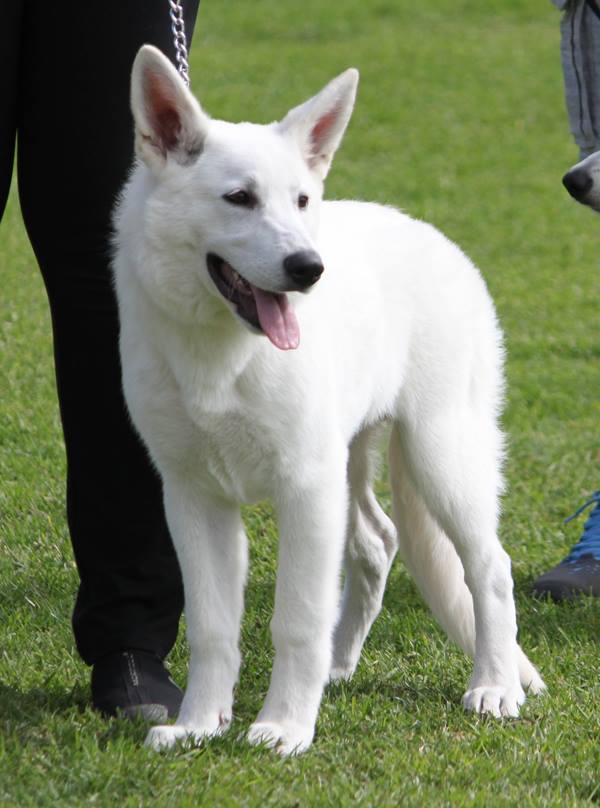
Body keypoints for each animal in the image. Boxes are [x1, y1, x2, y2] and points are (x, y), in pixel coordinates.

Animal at [111, 44, 544, 756]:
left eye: (302, 200)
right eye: (239, 198)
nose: (309, 269)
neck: (225, 354)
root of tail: (437, 240)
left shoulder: (305, 490)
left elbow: (296, 618)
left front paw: (284, 727)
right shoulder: (194, 496)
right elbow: (211, 628)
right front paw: (199, 725)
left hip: (441, 454)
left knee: (489, 568)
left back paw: (495, 686)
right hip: (356, 458)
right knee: (378, 542)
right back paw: (339, 667)